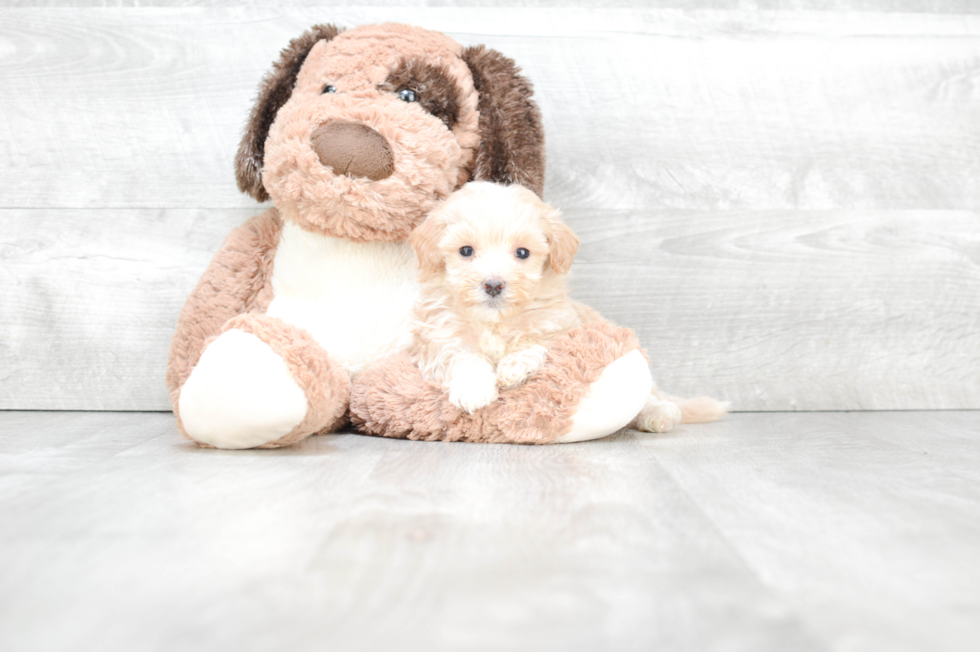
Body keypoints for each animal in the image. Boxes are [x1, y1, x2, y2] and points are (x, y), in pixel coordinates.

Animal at [406, 181, 712, 432]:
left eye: (522, 253)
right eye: (466, 251)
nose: (493, 285)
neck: (496, 321)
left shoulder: (560, 327)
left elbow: (535, 341)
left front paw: (512, 368)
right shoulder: (438, 338)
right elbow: (462, 356)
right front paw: (474, 389)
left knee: (649, 398)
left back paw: (659, 415)